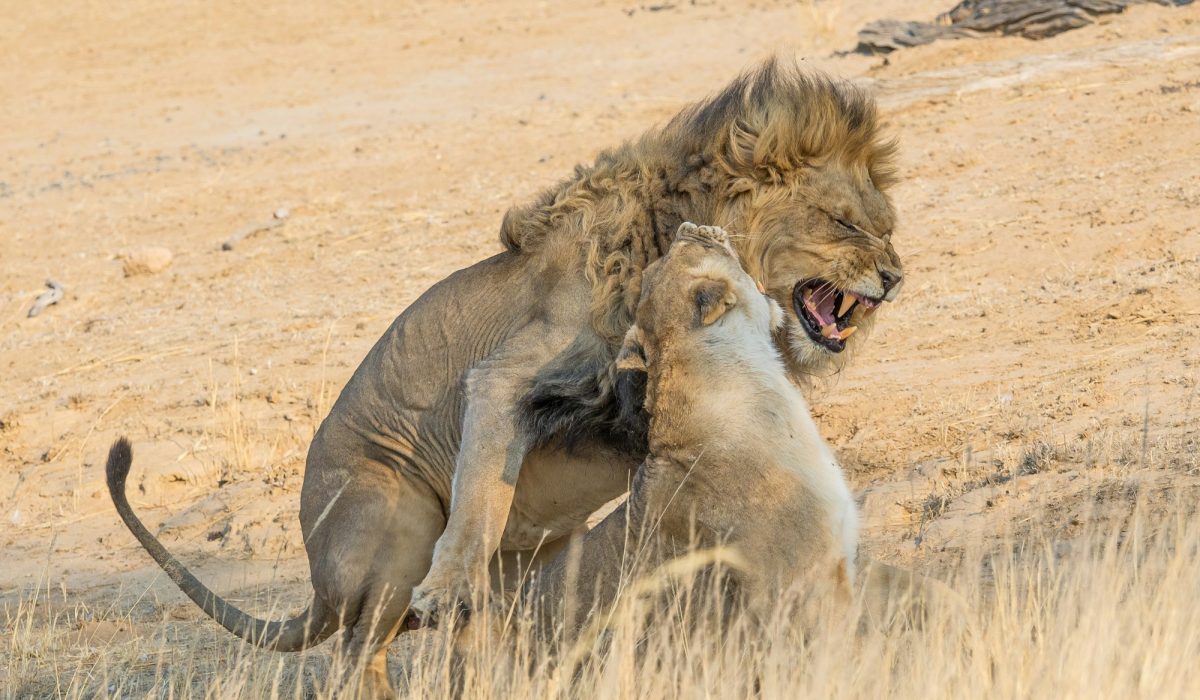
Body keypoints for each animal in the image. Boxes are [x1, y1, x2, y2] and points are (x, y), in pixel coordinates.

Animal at [105, 58, 904, 696]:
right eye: (843, 223)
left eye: (887, 228)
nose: (895, 278)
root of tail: (316, 574)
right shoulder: (503, 375)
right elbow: (481, 495)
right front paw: (451, 579)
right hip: (391, 523)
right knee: (359, 651)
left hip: (529, 566)